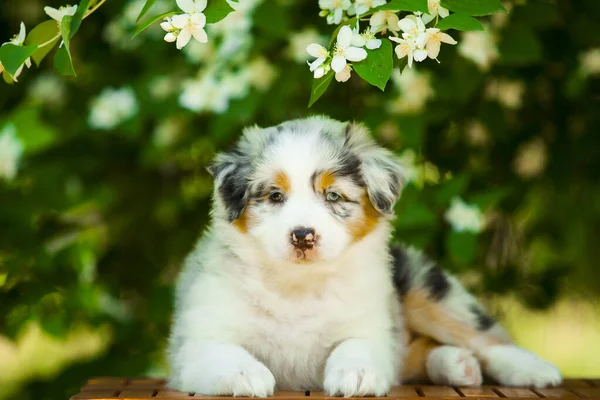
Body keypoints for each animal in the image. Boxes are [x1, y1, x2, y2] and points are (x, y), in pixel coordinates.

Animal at [165, 115, 564, 396]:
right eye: (275, 196)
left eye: (333, 196)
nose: (303, 236)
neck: (298, 285)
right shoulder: (198, 335)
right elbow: (221, 351)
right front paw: (244, 374)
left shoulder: (371, 322)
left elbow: (356, 345)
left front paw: (356, 374)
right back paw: (457, 364)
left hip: (421, 283)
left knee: (483, 337)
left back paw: (535, 370)